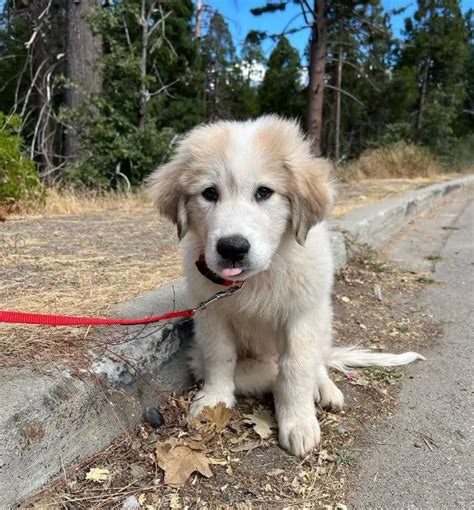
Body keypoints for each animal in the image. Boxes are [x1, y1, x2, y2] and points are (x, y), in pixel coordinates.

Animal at [147, 116, 422, 458]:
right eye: (209, 193)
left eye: (264, 192)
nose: (232, 248)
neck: (256, 279)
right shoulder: (212, 316)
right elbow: (220, 358)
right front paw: (214, 400)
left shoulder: (302, 315)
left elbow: (296, 367)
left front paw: (298, 421)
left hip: (322, 318)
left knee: (318, 361)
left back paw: (326, 390)